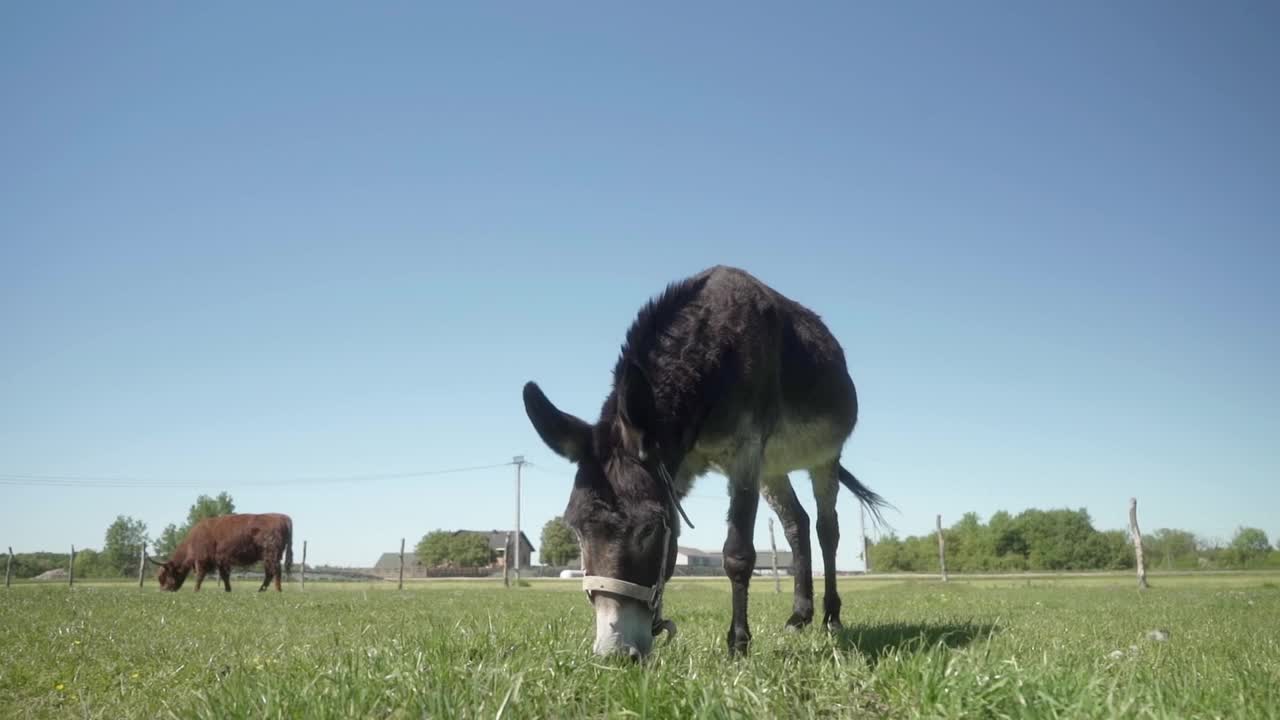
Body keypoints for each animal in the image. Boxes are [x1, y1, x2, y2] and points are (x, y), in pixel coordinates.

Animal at [148, 509, 293, 589]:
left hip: (271, 555)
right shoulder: (221, 562)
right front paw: (228, 590)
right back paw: (260, 591)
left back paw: (277, 591)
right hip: (267, 557)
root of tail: (282, 517)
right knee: (269, 574)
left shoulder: (202, 561)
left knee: (276, 572)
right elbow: (225, 577)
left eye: (164, 576)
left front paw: (195, 591)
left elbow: (199, 577)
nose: (164, 590)